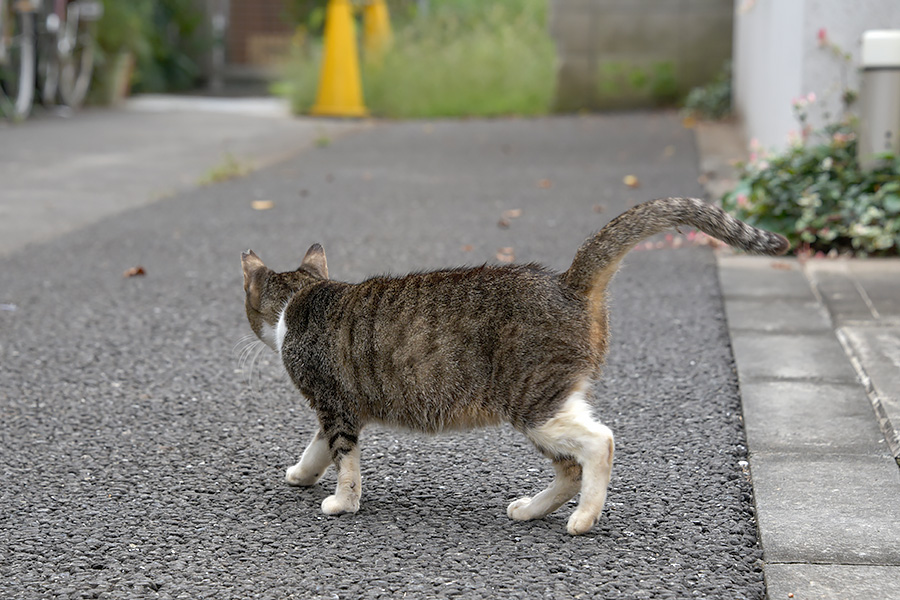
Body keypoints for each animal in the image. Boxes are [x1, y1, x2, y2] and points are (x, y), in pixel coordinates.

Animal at [241, 197, 788, 536]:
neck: (303, 299)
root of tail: (565, 282)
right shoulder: (337, 408)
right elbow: (319, 450)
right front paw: (301, 474)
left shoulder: (334, 405)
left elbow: (346, 462)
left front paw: (341, 502)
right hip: (550, 403)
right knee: (570, 467)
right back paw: (530, 510)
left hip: (534, 404)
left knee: (600, 443)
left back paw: (584, 519)